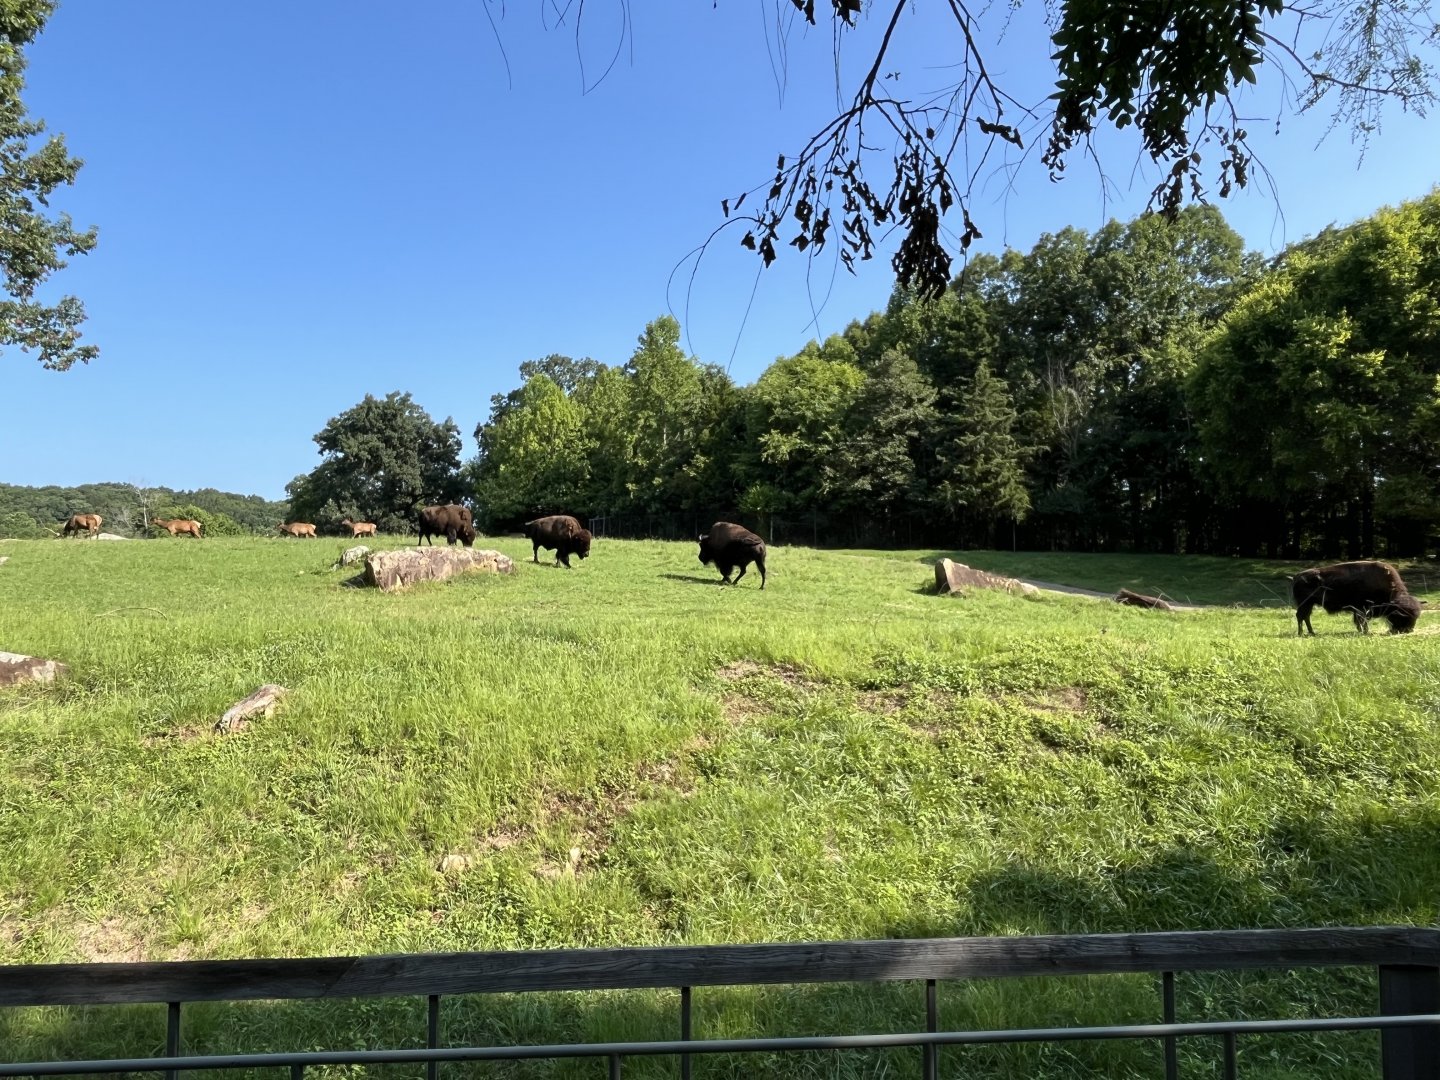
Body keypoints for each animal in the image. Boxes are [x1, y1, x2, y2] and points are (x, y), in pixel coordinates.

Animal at [1291, 560, 1421, 636]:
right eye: (1403, 615)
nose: (1408, 630)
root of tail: (1297, 576)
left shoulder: (1359, 609)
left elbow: (1359, 620)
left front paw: (1362, 630)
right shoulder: (1362, 608)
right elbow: (1362, 620)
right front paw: (1365, 631)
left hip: (1309, 604)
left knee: (1305, 617)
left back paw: (1311, 632)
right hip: (1305, 604)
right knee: (1301, 616)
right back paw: (1302, 633)